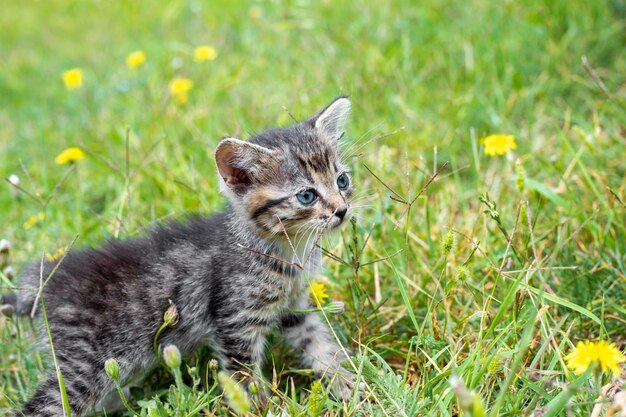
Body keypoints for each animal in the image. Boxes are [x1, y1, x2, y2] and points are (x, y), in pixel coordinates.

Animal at [2, 96, 356, 414]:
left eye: (342, 180)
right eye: (307, 196)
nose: (342, 210)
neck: (288, 249)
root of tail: (44, 282)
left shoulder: (294, 308)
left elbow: (319, 343)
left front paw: (348, 383)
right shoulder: (235, 322)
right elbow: (244, 380)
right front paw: (260, 409)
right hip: (85, 366)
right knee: (44, 405)